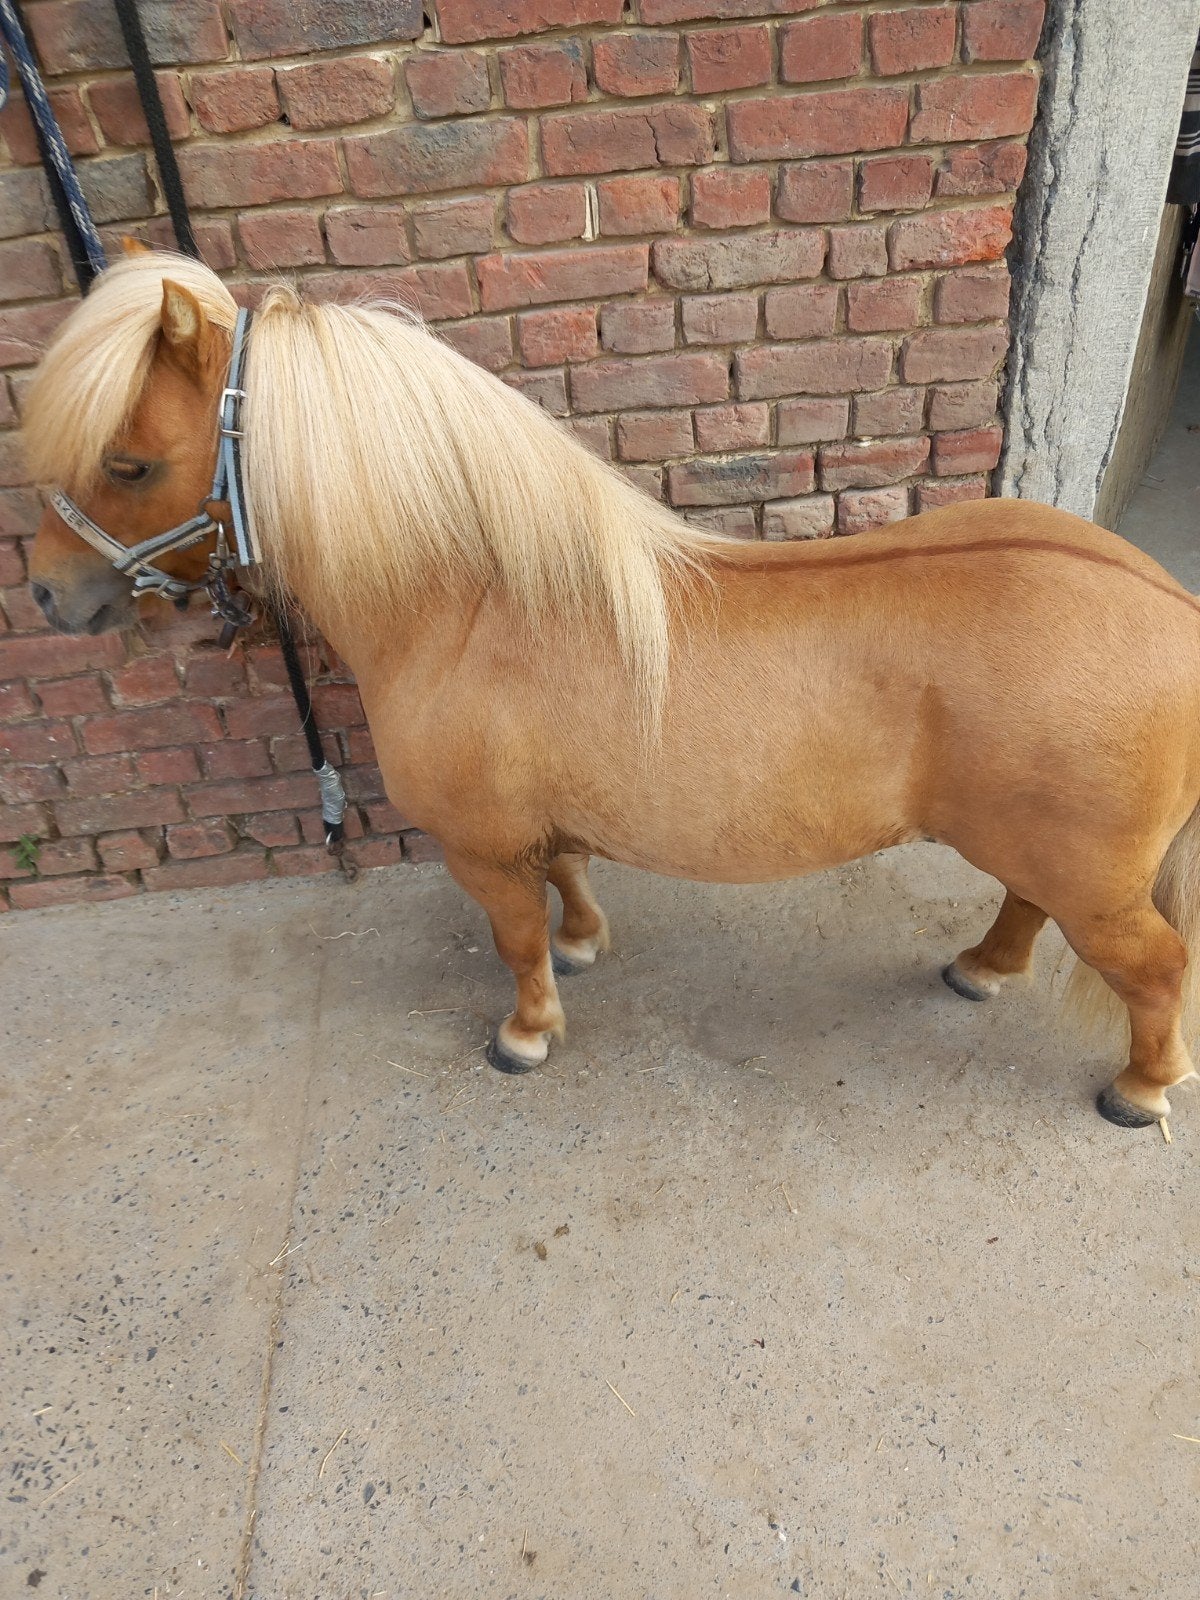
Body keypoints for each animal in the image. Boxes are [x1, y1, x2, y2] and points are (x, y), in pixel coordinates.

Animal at [21, 250, 1200, 1131]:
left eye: (127, 464)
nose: (45, 592)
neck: (474, 601)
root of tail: (1172, 608)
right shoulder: (539, 822)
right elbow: (569, 877)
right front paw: (585, 945)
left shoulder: (479, 847)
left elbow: (514, 937)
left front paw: (527, 1032)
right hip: (1041, 849)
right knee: (1027, 904)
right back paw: (982, 968)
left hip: (1094, 881)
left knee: (1154, 964)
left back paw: (1140, 1089)